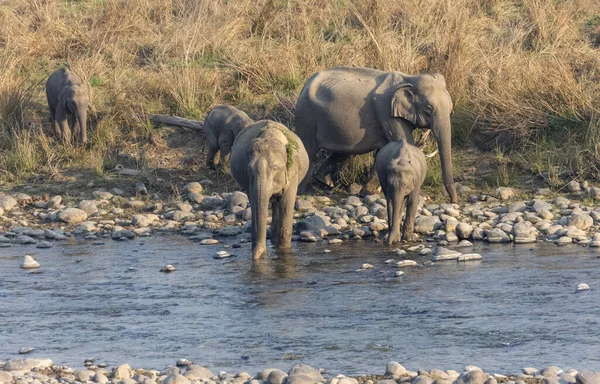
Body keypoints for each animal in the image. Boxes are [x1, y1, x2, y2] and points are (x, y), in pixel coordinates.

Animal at [230, 118, 310, 260]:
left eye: (274, 168)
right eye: (249, 169)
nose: (255, 257)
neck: (270, 135)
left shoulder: (293, 173)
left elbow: (286, 203)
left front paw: (283, 249)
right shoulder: (249, 180)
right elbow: (255, 201)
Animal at [292, 66, 458, 204]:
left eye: (451, 107)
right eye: (429, 108)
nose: (453, 201)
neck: (410, 79)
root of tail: (306, 84)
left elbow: (384, 149)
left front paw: (368, 193)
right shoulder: (386, 112)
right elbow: (404, 142)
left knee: (343, 151)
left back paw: (325, 182)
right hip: (307, 116)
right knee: (308, 149)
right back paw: (306, 192)